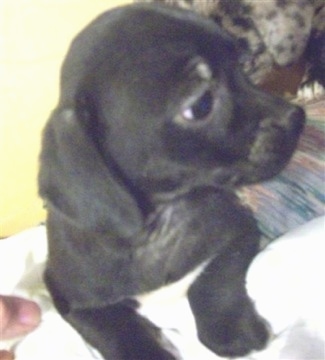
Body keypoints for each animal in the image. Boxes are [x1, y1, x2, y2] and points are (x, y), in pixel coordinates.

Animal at [38, 3, 304, 360]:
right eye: (202, 104)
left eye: (244, 67)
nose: (297, 117)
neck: (162, 221)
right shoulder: (70, 299)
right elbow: (114, 329)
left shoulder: (240, 230)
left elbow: (214, 280)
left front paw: (232, 331)